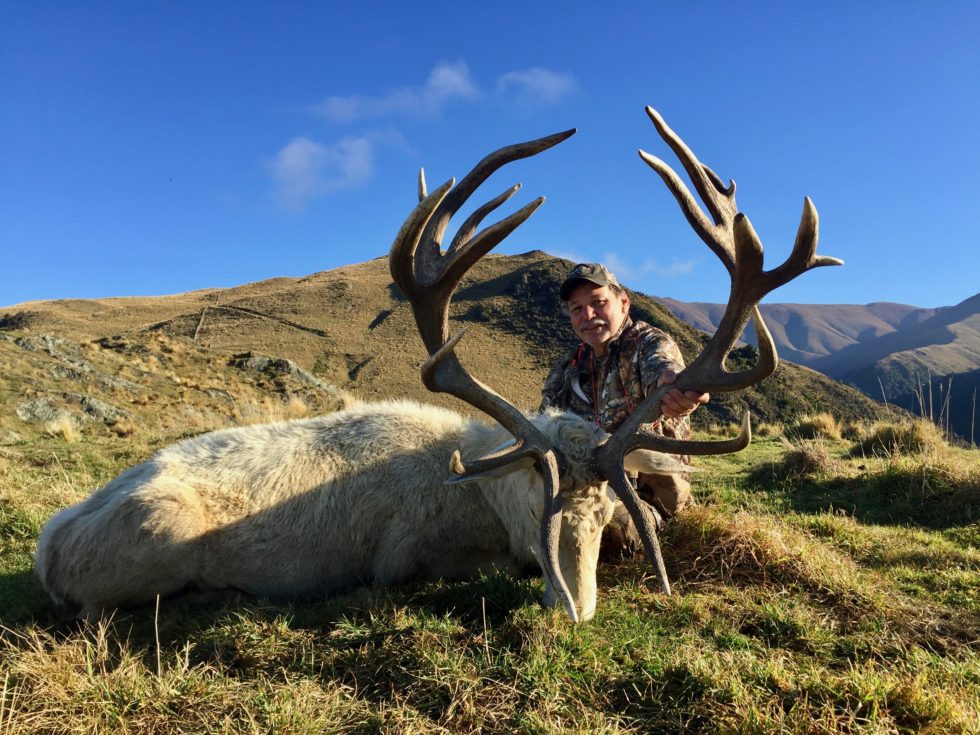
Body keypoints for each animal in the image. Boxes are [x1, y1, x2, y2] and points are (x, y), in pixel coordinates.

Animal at [34, 107, 841, 622]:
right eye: (534, 499)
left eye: (608, 508)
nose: (575, 608)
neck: (474, 486)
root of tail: (49, 545)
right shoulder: (408, 557)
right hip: (154, 538)